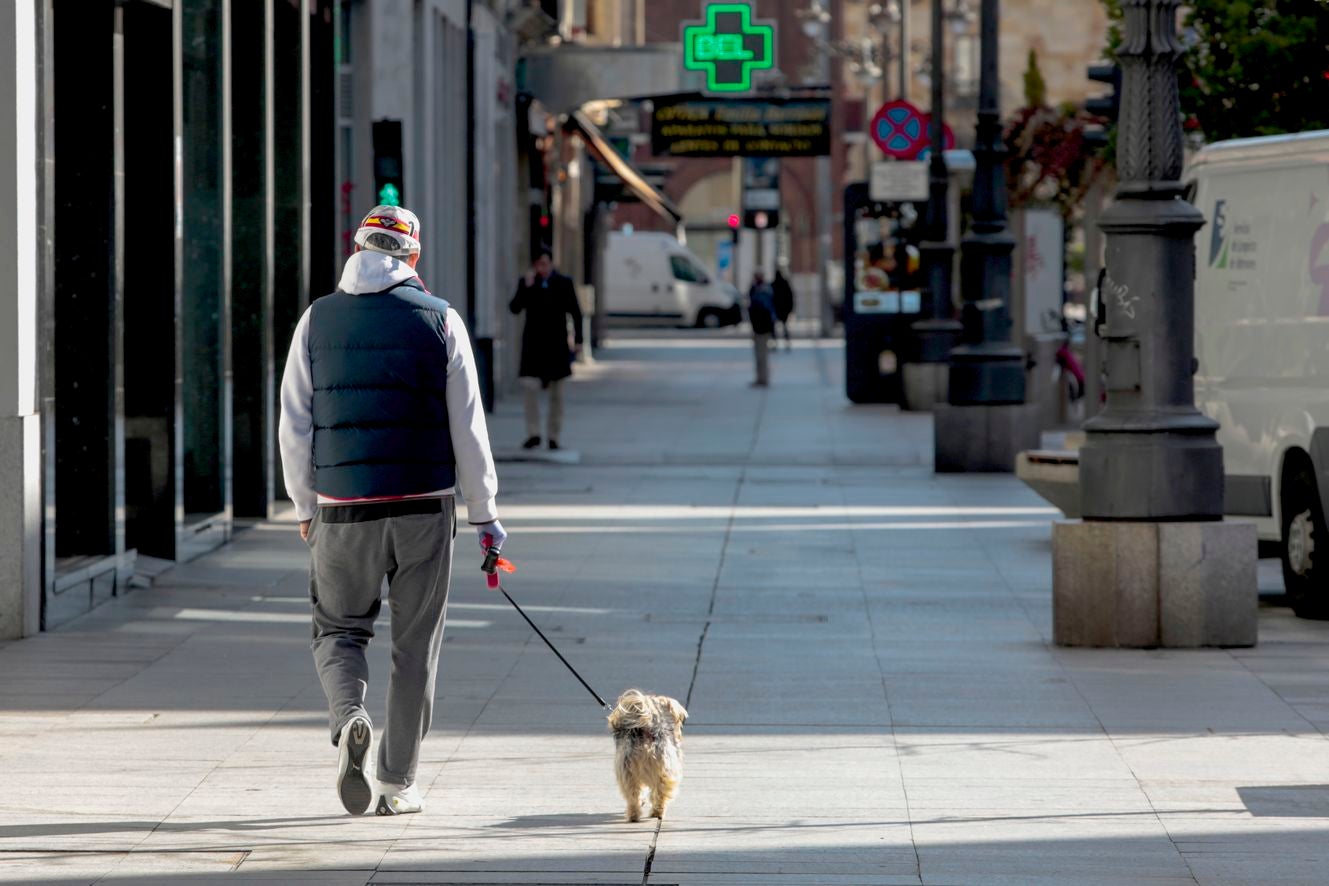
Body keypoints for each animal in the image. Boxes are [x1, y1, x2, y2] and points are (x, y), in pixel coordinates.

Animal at [606, 690, 685, 823]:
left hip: (628, 772)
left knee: (633, 794)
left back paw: (634, 815)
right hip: (663, 769)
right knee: (658, 793)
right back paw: (656, 812)